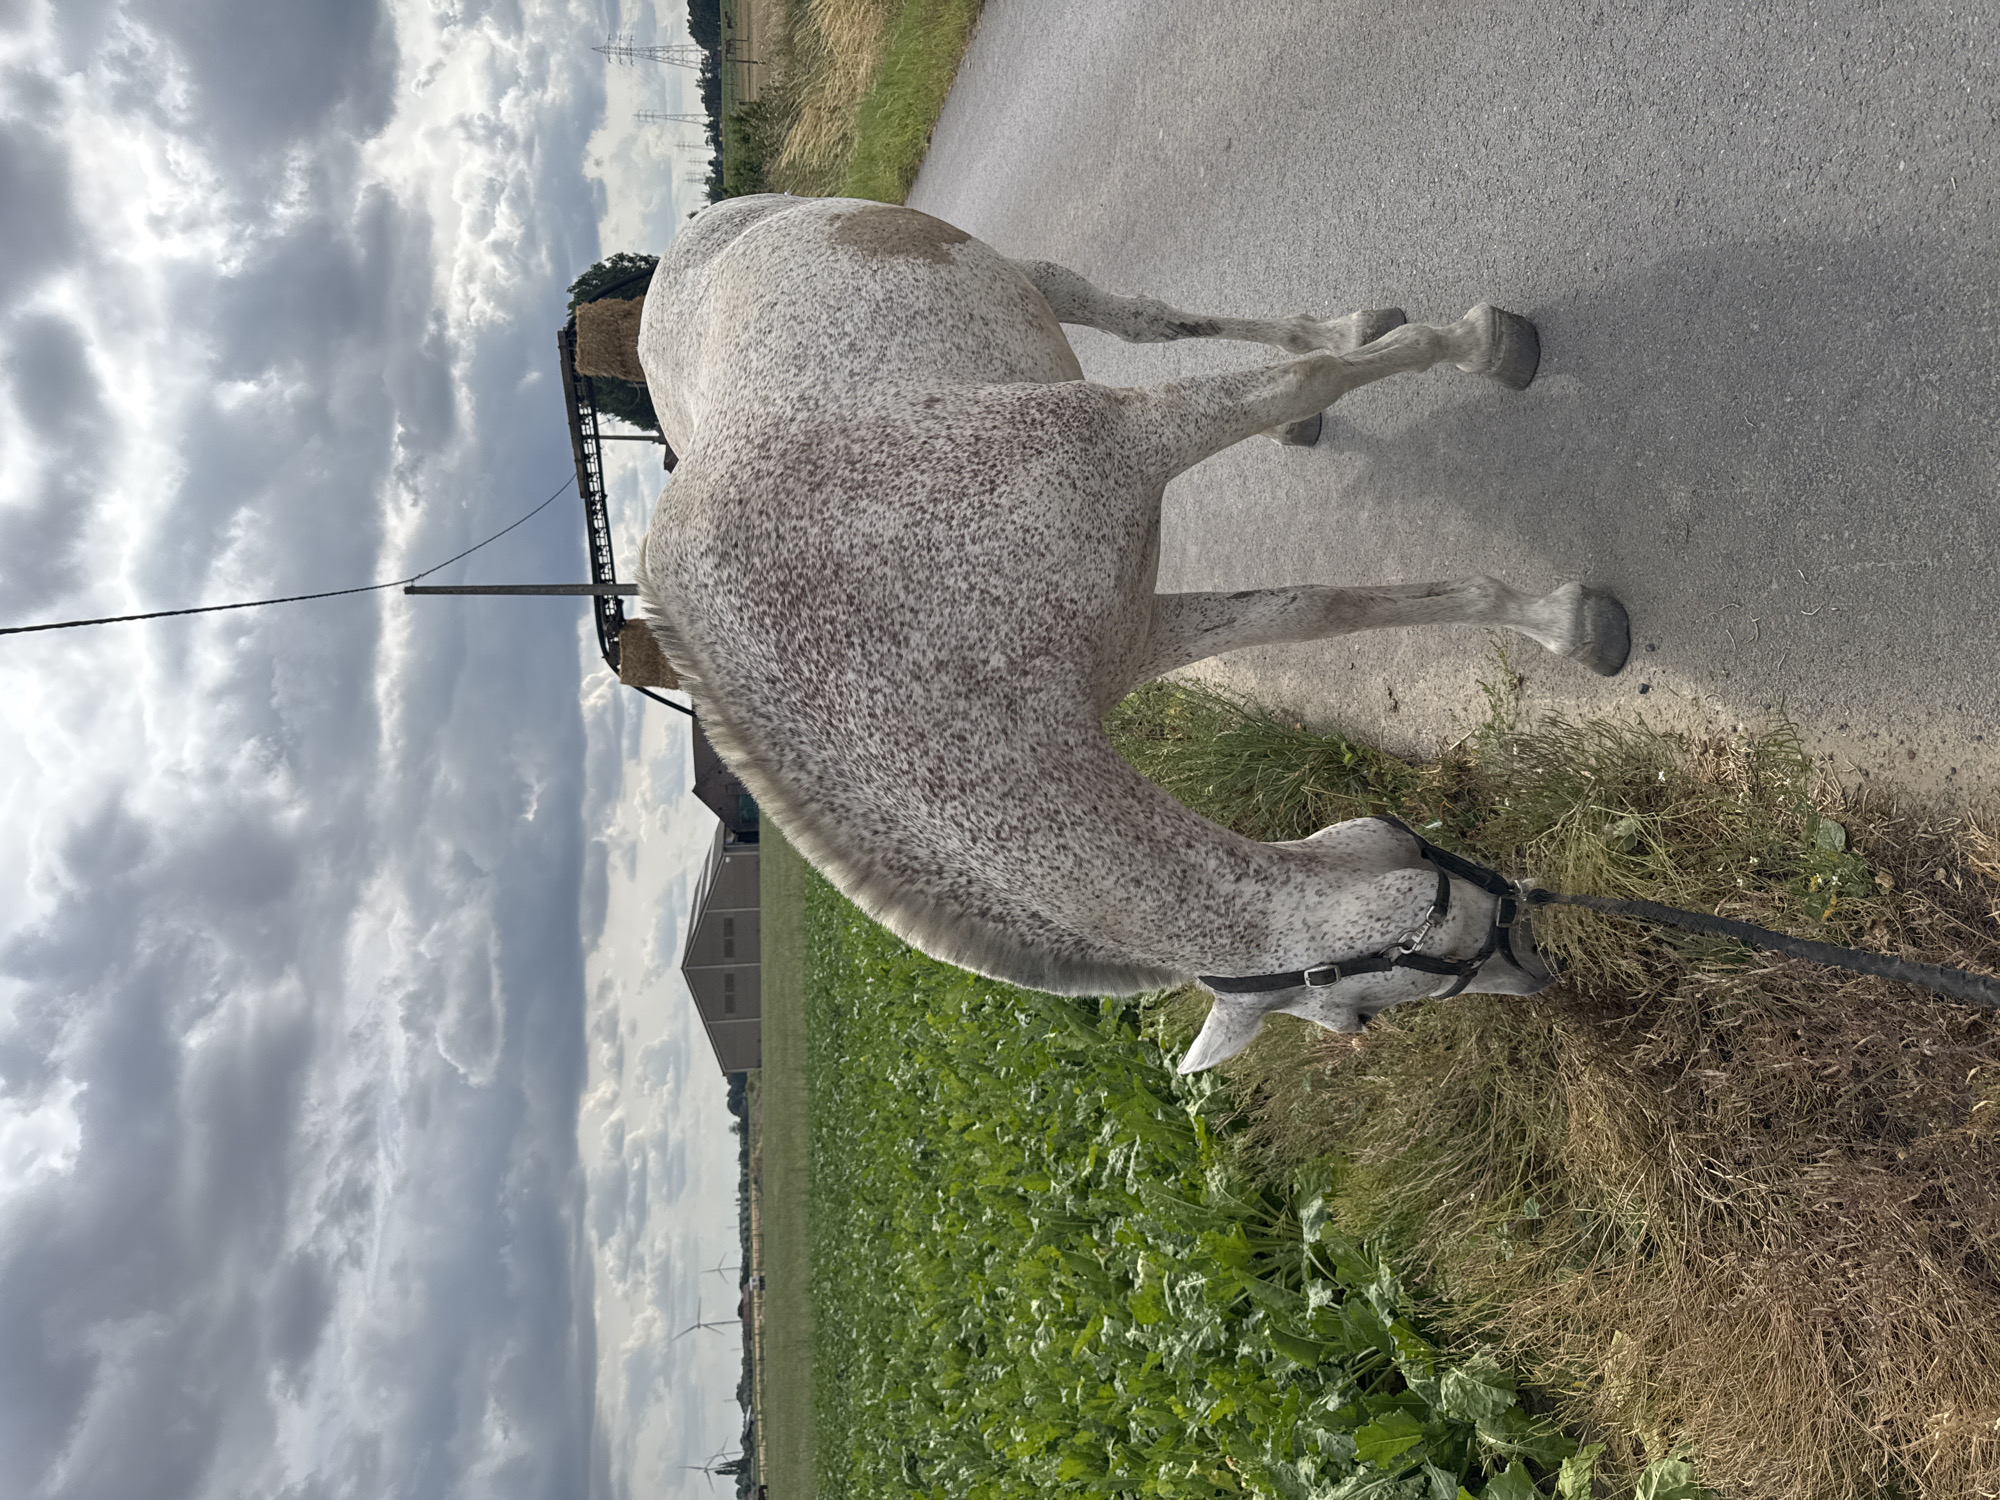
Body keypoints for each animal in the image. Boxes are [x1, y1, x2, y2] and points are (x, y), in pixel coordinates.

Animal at [633, 194, 1628, 1072]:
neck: (900, 655)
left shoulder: (1132, 435)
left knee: (1136, 316)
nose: (1537, 973)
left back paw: (1354, 331)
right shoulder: (1143, 630)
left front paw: (1486, 347)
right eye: (1361, 1013)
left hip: (1009, 273)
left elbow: (1309, 386)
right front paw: (1562, 621)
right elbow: (1316, 610)